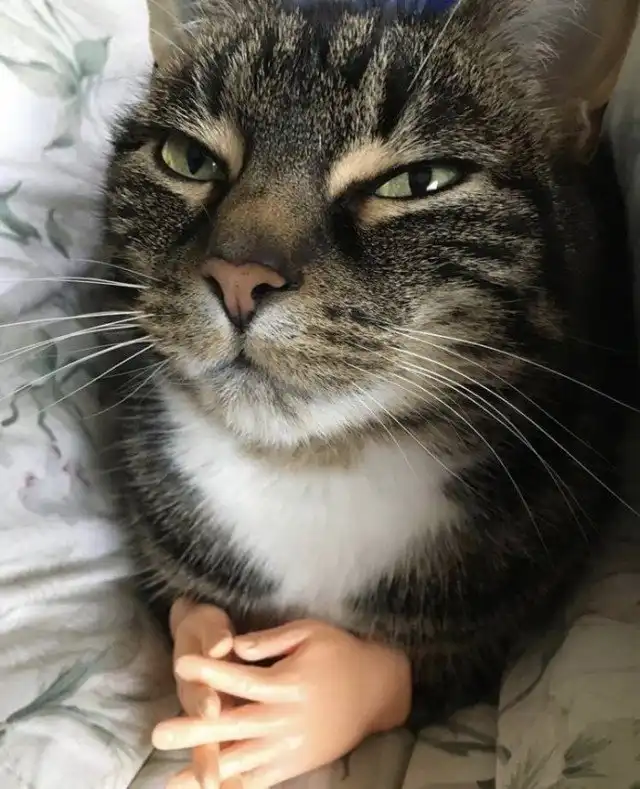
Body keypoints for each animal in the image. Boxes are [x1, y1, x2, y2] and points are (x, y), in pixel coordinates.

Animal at [97, 0, 639, 726]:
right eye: (189, 159)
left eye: (417, 181)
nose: (238, 278)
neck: (316, 467)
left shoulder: (476, 642)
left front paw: (308, 701)